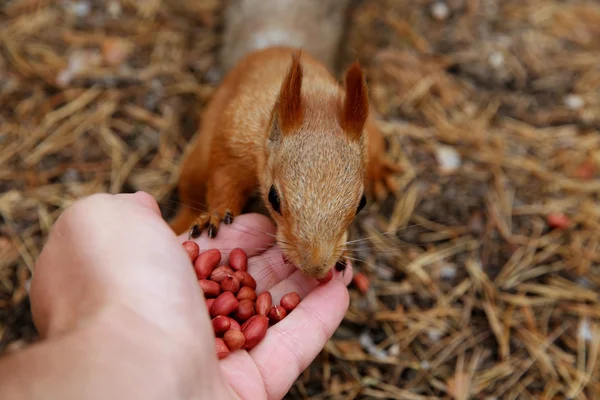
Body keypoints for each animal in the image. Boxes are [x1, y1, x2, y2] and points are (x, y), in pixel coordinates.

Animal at [169, 1, 400, 280]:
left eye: (361, 203)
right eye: (273, 198)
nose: (315, 268)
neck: (314, 98)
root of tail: (273, 46)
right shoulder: (236, 140)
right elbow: (224, 178)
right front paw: (216, 215)